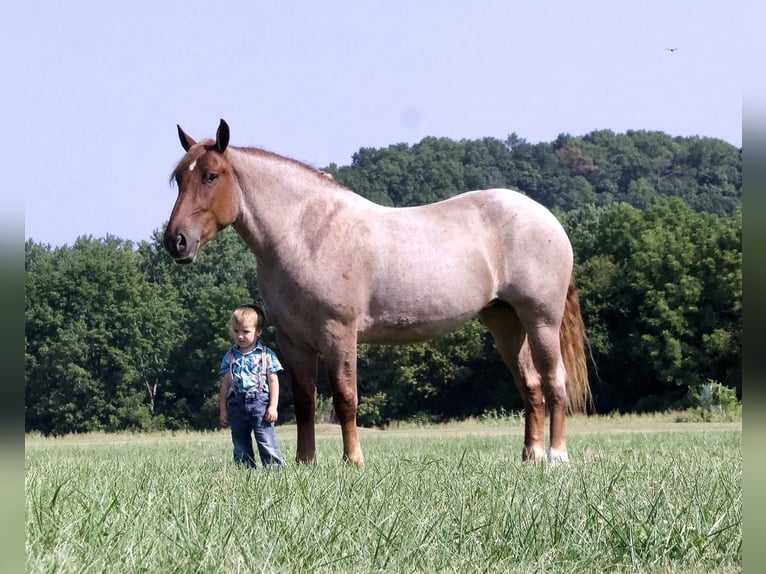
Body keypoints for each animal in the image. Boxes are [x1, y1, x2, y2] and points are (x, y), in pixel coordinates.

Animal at [164, 120, 592, 468]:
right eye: (179, 178)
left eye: (211, 176)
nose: (176, 241)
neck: (306, 233)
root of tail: (546, 217)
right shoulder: (293, 340)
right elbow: (304, 403)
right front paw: (305, 463)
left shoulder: (338, 333)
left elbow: (344, 399)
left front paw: (353, 461)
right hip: (505, 322)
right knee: (531, 387)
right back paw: (530, 456)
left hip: (541, 319)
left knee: (554, 382)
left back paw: (556, 456)